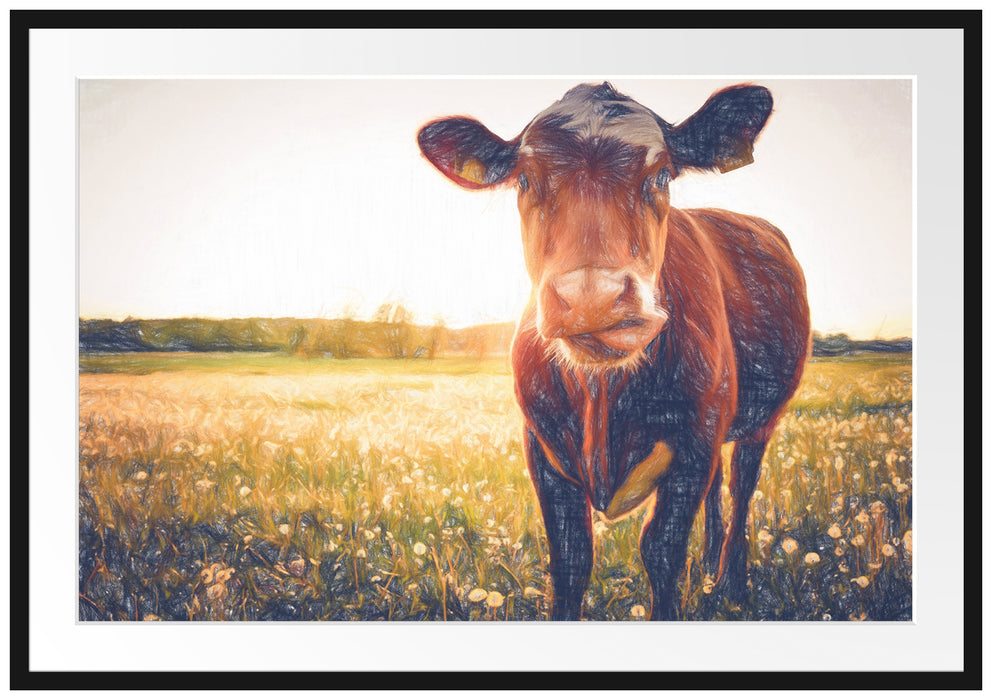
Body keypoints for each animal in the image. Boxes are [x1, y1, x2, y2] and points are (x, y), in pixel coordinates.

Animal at [417, 82, 810, 620]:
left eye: (662, 174)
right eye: (524, 181)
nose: (592, 297)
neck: (602, 400)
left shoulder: (696, 442)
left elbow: (661, 549)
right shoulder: (541, 447)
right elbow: (570, 556)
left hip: (760, 421)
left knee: (741, 488)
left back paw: (731, 582)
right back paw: (709, 568)